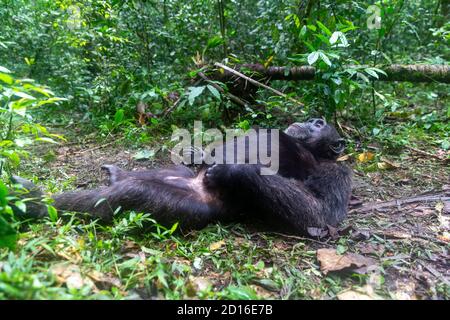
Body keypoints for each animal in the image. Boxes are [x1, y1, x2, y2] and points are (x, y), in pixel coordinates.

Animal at [11, 117, 352, 235]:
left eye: (320, 124)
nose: (309, 120)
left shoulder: (338, 170)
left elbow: (317, 212)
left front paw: (233, 170)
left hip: (188, 204)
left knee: (126, 195)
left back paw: (34, 202)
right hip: (179, 177)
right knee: (173, 170)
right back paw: (117, 174)